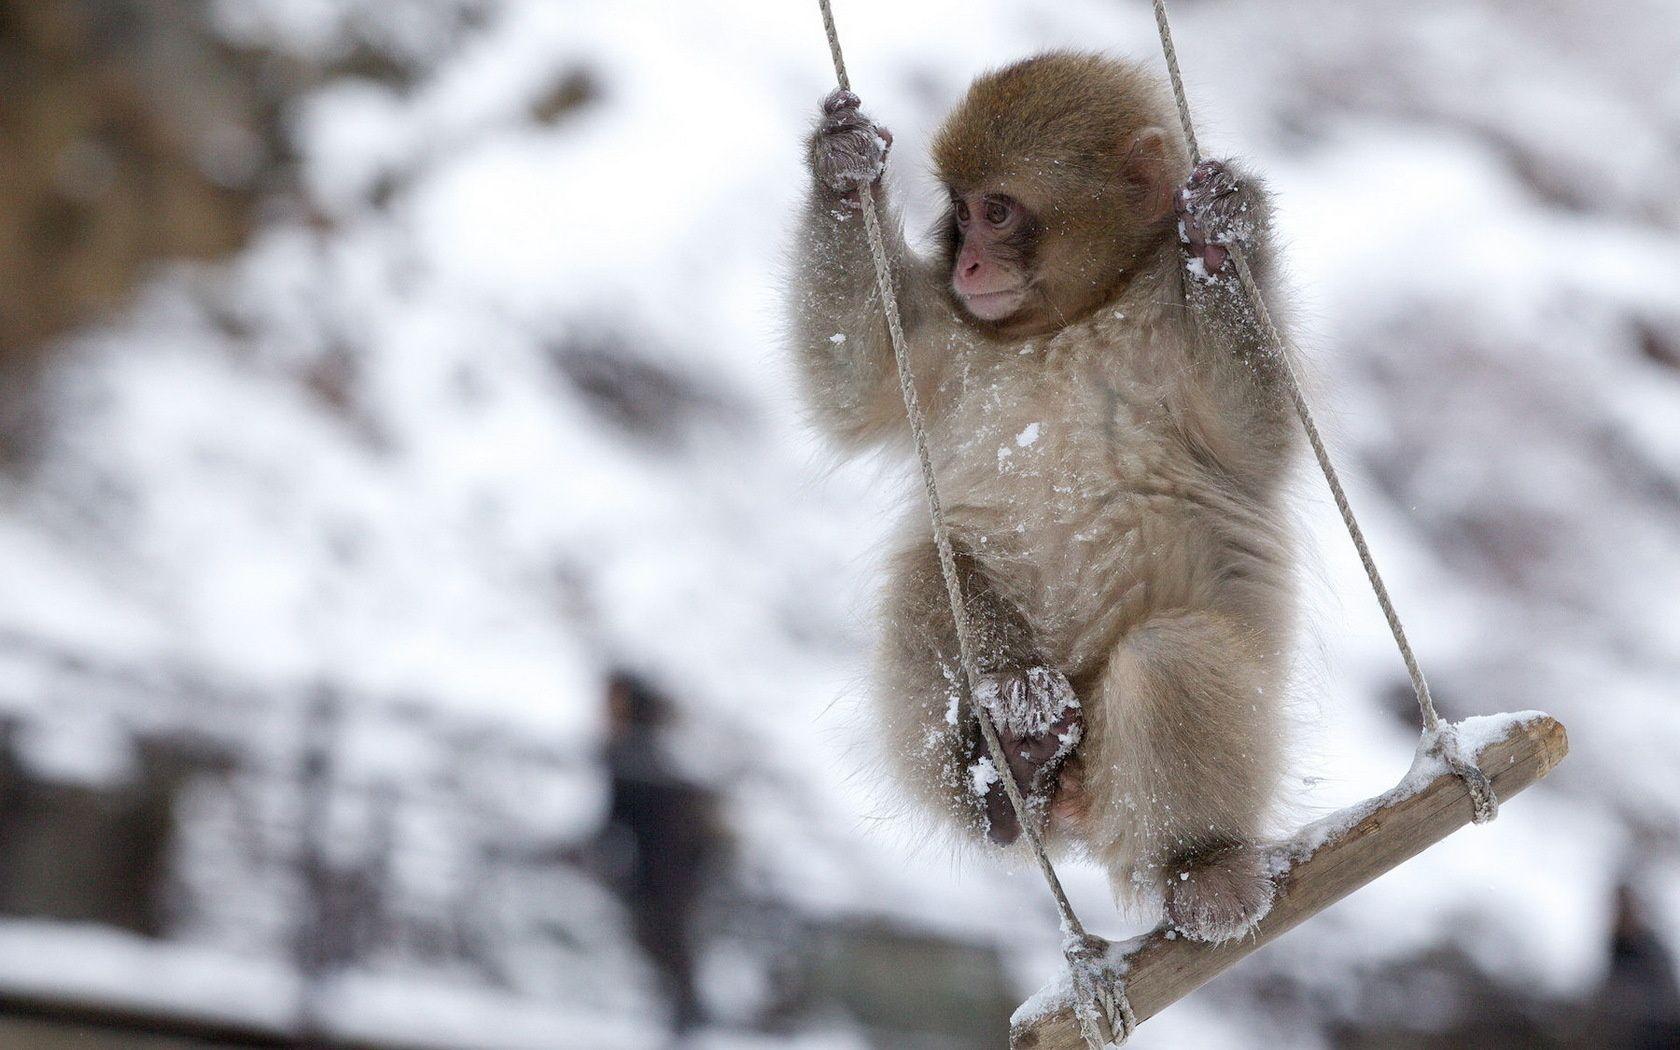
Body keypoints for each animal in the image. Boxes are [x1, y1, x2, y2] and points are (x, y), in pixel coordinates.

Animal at [787, 52, 1298, 944]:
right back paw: (1012, 767)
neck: (1073, 318)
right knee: (932, 571)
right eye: (959, 213)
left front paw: (1218, 236)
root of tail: (1080, 814)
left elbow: (1255, 438)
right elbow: (853, 377)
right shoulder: (952, 337)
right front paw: (844, 168)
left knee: (1169, 659)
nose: (968, 265)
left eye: (997, 211)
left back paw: (1201, 864)